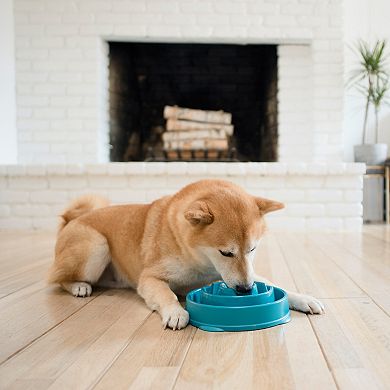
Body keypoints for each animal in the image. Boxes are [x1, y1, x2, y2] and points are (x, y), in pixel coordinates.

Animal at [48, 180, 322, 330]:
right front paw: (175, 311)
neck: (201, 262)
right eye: (226, 252)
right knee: (57, 279)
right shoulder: (150, 278)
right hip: (97, 246)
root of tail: (72, 220)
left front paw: (303, 298)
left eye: (252, 249)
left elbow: (277, 285)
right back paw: (78, 286)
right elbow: (166, 294)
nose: (245, 290)